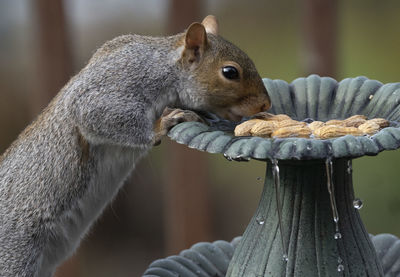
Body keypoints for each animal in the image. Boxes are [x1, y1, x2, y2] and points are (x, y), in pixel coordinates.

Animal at [0, 15, 270, 276]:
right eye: (230, 72)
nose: (265, 104)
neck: (166, 67)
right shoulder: (120, 85)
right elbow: (93, 113)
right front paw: (163, 124)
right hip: (16, 254)